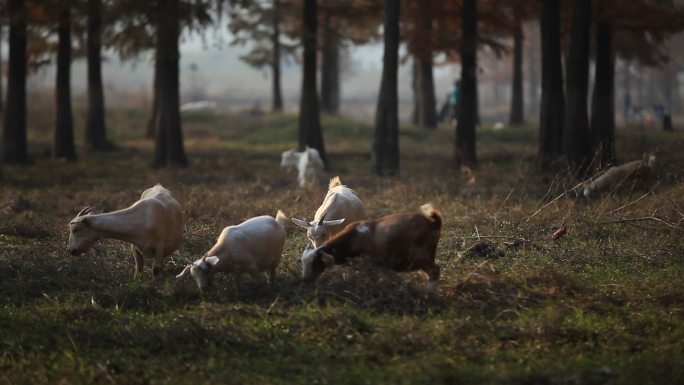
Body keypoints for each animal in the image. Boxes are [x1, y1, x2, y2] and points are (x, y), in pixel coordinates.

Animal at [300, 204, 444, 292]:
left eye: (315, 261)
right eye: (302, 262)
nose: (305, 279)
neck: (353, 237)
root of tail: (434, 223)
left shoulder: (374, 266)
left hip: (420, 256)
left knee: (434, 271)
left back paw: (429, 295)